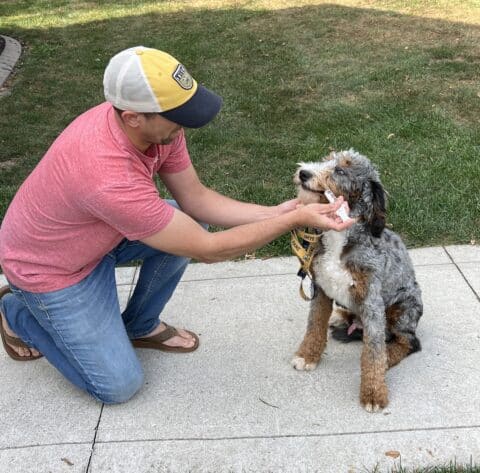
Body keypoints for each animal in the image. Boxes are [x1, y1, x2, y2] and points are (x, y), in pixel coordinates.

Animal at [290, 149, 422, 412]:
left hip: (404, 306)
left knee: (407, 342)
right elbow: (314, 324)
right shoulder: (320, 288)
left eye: (341, 170)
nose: (304, 172)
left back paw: (388, 357)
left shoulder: (372, 301)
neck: (339, 237)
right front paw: (307, 356)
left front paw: (373, 393)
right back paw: (342, 318)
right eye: (325, 159)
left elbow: (373, 352)